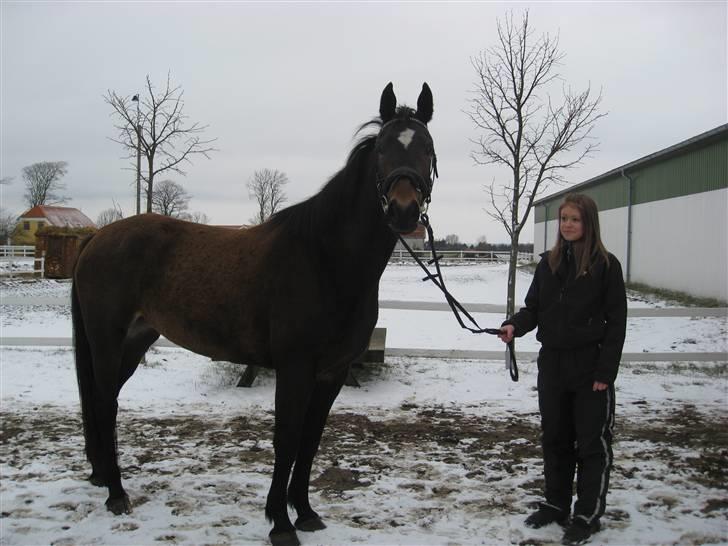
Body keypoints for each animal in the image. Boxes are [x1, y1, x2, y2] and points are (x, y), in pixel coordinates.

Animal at [72, 82, 438, 544]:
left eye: (427, 148)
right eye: (384, 149)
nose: (404, 209)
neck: (325, 257)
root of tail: (97, 237)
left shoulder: (332, 372)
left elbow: (311, 441)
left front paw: (306, 512)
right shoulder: (295, 368)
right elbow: (287, 439)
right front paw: (280, 522)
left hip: (136, 340)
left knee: (105, 400)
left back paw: (103, 476)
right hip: (106, 340)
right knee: (104, 402)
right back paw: (117, 494)